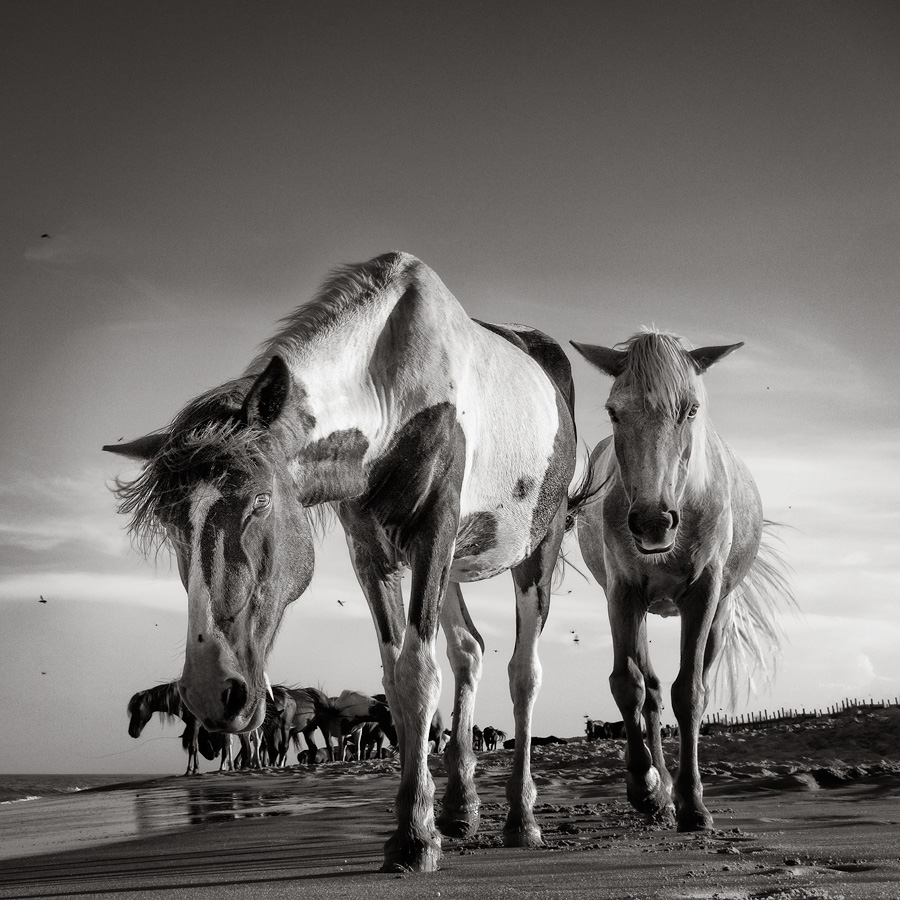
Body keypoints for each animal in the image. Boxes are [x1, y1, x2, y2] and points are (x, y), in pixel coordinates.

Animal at [105, 253, 588, 872]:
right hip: (454, 564)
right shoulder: (370, 551)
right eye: (171, 525)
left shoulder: (433, 534)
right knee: (469, 652)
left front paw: (415, 839)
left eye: (259, 501)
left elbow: (417, 673)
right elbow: (398, 681)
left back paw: (521, 820)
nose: (213, 692)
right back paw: (461, 810)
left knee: (523, 673)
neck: (392, 390)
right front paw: (418, 825)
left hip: (534, 550)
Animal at [568, 334, 796, 832]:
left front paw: (693, 803)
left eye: (690, 409)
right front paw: (646, 788)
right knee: (649, 691)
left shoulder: (703, 594)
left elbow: (689, 693)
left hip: (719, 614)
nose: (654, 522)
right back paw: (659, 788)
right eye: (614, 411)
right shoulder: (623, 592)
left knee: (694, 687)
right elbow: (628, 685)